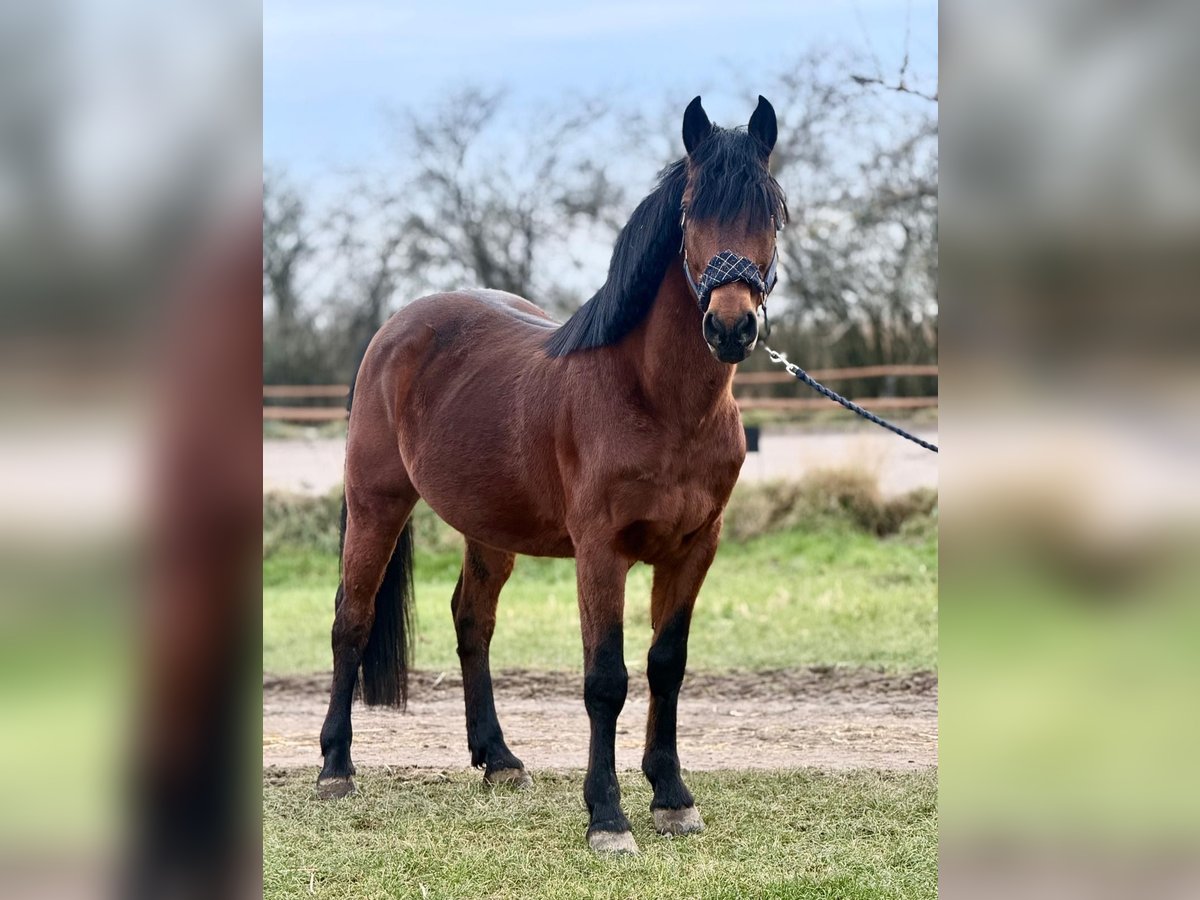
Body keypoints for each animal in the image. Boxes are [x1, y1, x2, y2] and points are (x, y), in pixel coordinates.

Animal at [319, 95, 787, 854]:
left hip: (489, 528)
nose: (730, 326)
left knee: (471, 620)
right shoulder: (600, 551)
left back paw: (499, 760)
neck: (656, 401)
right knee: (351, 622)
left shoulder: (693, 549)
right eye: (690, 210)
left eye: (771, 211)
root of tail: (396, 329)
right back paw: (335, 767)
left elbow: (667, 666)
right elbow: (605, 679)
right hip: (375, 505)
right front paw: (608, 819)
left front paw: (673, 798)